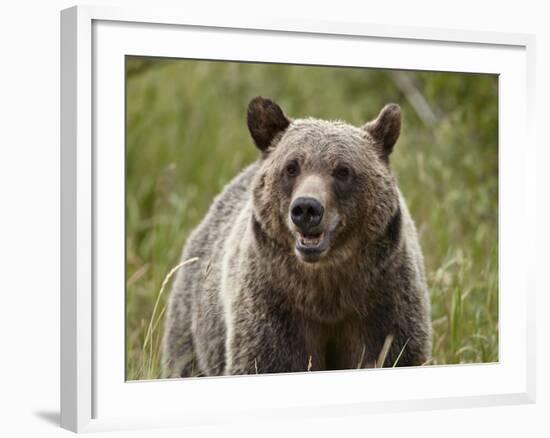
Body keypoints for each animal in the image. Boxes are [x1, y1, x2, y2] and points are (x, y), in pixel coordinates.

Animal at [162, 96, 434, 376]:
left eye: (343, 170)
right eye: (291, 167)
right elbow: (266, 360)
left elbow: (393, 352)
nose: (306, 208)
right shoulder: (275, 307)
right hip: (193, 320)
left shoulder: (383, 303)